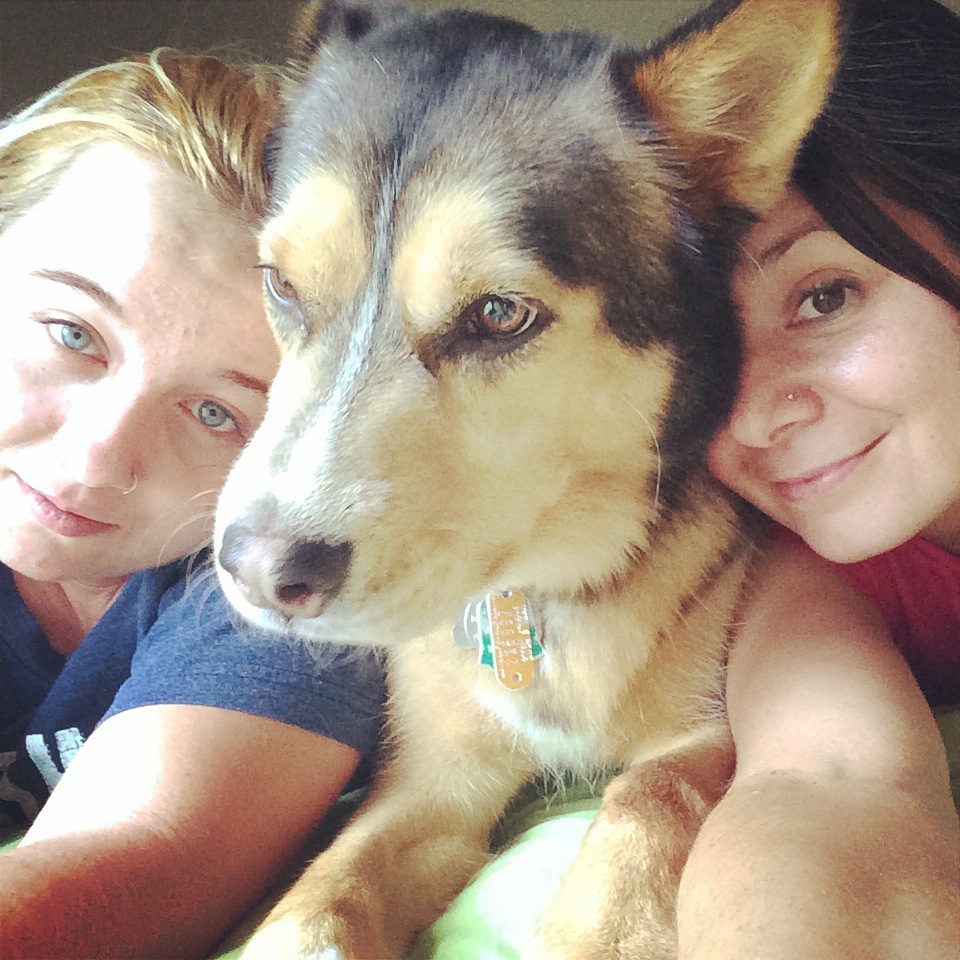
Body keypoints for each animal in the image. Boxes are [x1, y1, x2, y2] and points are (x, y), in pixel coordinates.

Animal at [214, 0, 842, 956]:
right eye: (279, 283)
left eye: (500, 314)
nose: (254, 570)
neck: (539, 597)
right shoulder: (431, 780)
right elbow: (319, 899)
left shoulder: (706, 731)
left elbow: (646, 797)